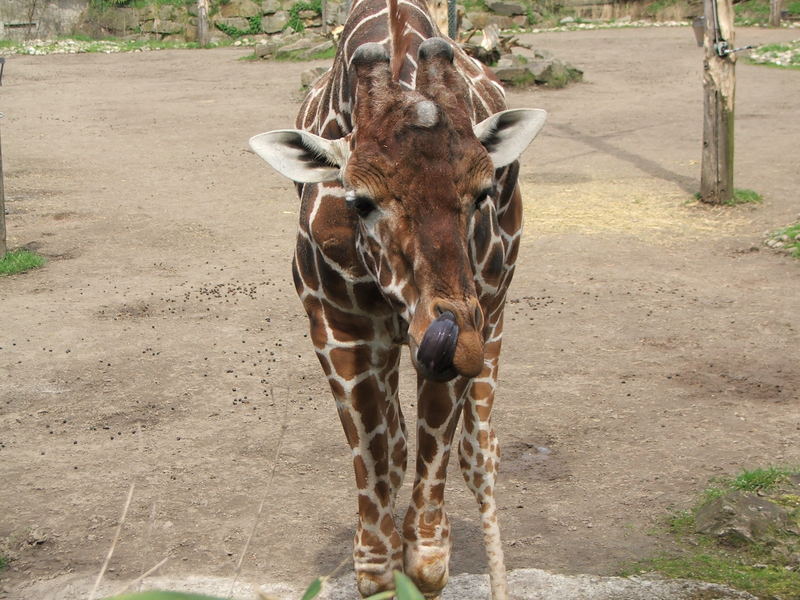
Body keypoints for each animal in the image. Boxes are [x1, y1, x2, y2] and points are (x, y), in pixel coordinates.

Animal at [252, 2, 544, 596]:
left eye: (481, 191)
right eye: (360, 200)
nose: (456, 343)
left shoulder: (467, 326)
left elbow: (427, 555)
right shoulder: (338, 327)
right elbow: (374, 548)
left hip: (496, 309)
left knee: (481, 454)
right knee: (402, 445)